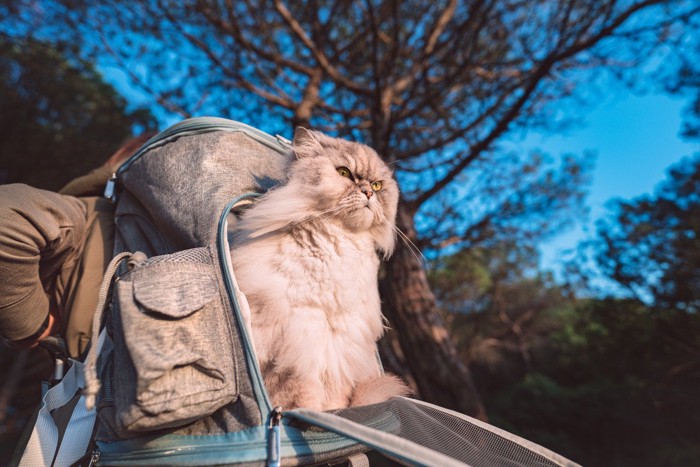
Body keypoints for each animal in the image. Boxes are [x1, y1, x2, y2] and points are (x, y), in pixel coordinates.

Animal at [232, 127, 410, 410]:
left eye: (377, 185)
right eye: (344, 173)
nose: (368, 193)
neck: (338, 243)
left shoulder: (340, 348)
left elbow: (334, 400)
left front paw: (334, 413)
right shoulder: (300, 346)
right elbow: (302, 400)